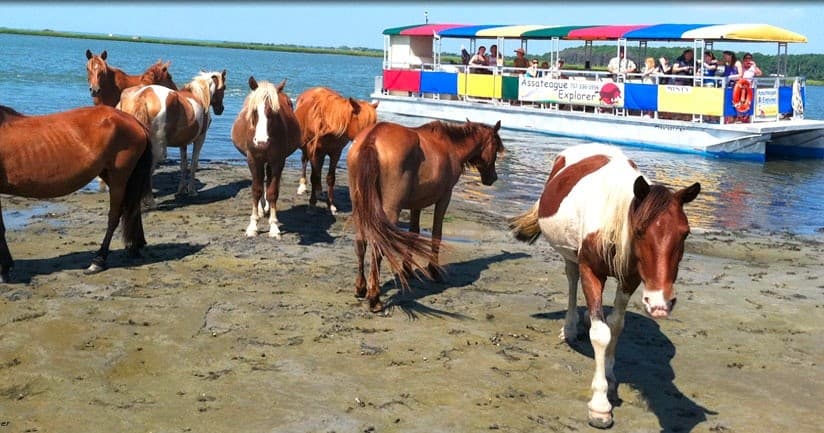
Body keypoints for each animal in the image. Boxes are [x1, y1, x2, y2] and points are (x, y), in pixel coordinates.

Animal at [0, 104, 153, 282]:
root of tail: (133, 120)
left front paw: (4, 269)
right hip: (113, 175)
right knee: (132, 208)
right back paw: (134, 247)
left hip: (119, 178)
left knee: (114, 216)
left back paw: (99, 260)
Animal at [117, 70, 227, 205]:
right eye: (224, 87)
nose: (221, 109)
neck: (199, 97)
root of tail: (143, 95)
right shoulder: (200, 139)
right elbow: (193, 164)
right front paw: (192, 191)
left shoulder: (183, 143)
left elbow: (184, 165)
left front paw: (181, 190)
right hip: (157, 148)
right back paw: (150, 201)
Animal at [231, 76, 301, 239]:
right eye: (254, 111)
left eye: (274, 111)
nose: (261, 142)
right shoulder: (254, 160)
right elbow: (256, 190)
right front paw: (253, 226)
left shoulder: (277, 161)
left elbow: (272, 191)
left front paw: (274, 226)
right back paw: (262, 209)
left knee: (267, 182)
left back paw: (267, 208)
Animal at [347, 119, 504, 312]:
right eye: (496, 148)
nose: (493, 178)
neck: (450, 146)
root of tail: (373, 137)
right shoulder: (444, 197)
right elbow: (437, 233)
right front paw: (434, 271)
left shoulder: (417, 204)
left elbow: (413, 234)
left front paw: (407, 270)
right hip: (390, 210)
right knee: (378, 246)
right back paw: (374, 299)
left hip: (359, 207)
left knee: (361, 243)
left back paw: (361, 288)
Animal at [508, 143, 700, 429]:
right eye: (640, 230)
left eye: (685, 233)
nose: (660, 303)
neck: (613, 218)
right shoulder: (591, 271)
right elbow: (601, 334)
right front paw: (600, 404)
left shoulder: (630, 278)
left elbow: (616, 325)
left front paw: (609, 375)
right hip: (571, 257)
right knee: (572, 280)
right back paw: (570, 327)